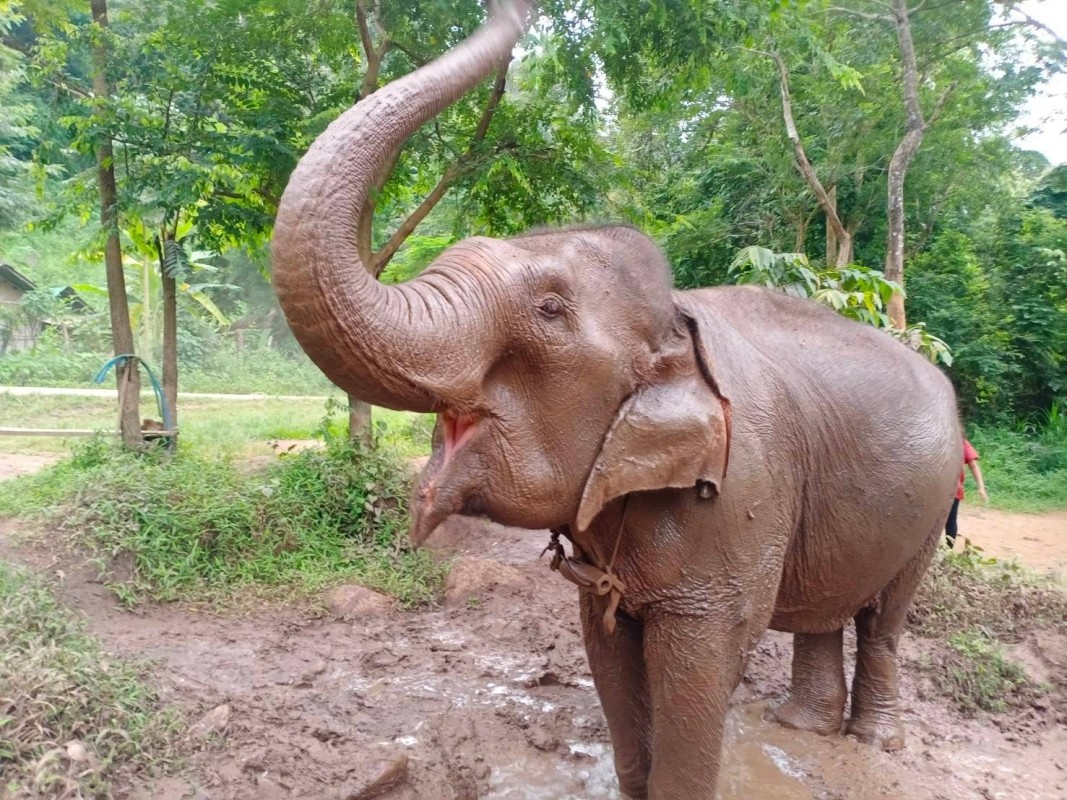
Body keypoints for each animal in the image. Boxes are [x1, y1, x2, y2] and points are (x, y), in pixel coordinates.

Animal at [270, 3, 960, 798]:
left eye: (548, 309)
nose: (513, 13)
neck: (675, 323)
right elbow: (607, 650)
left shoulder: (740, 493)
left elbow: (702, 661)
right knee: (830, 609)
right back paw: (801, 728)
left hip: (932, 499)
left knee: (886, 616)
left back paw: (874, 740)